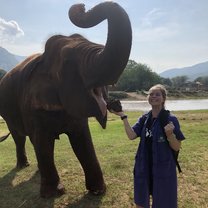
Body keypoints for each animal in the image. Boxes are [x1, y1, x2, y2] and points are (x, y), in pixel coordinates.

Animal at [0, 1, 132, 198]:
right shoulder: (30, 105)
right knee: (20, 136)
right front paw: (53, 194)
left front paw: (98, 191)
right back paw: (24, 165)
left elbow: (83, 141)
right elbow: (42, 141)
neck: (42, 59)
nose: (81, 6)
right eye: (68, 61)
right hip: (8, 112)